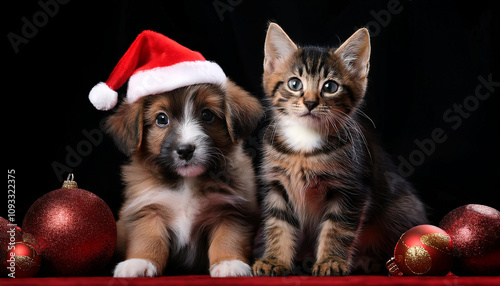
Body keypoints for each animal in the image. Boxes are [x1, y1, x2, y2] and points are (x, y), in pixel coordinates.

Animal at [107, 80, 264, 278]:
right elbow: (148, 238)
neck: (186, 182)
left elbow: (227, 238)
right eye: (161, 119)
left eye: (207, 114)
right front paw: (139, 261)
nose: (185, 150)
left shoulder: (230, 211)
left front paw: (229, 262)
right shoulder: (149, 209)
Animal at [252, 23, 428, 276]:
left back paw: (370, 260)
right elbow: (278, 225)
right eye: (295, 84)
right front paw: (275, 260)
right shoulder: (277, 185)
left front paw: (331, 262)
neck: (305, 143)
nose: (310, 103)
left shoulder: (351, 188)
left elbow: (338, 229)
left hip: (401, 209)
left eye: (330, 87)